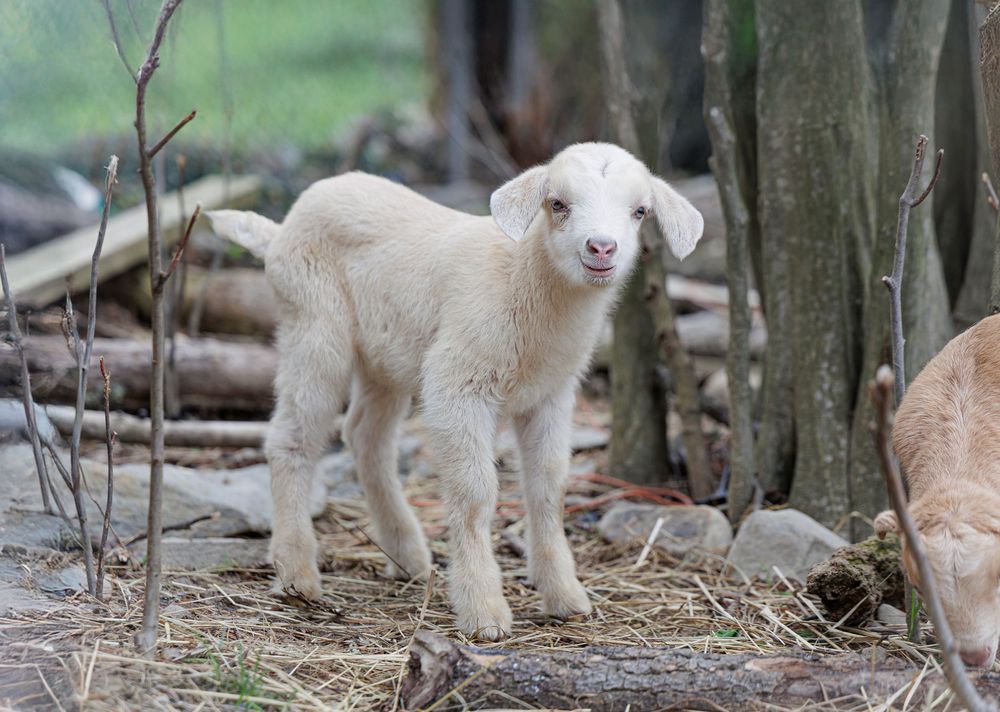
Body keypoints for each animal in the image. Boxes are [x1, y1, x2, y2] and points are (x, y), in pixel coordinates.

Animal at [207, 142, 704, 640]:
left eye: (640, 211)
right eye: (557, 204)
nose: (601, 247)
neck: (523, 279)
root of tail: (280, 230)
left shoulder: (551, 394)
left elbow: (549, 486)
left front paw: (565, 596)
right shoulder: (456, 383)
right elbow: (475, 493)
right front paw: (484, 612)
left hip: (386, 356)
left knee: (365, 435)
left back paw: (406, 554)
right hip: (313, 322)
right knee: (292, 438)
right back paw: (297, 575)